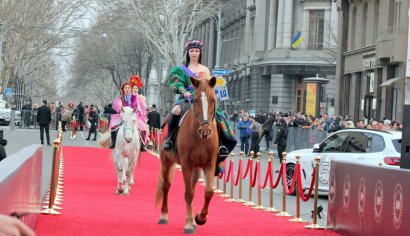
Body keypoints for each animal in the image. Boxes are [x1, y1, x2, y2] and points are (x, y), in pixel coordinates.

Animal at [155, 75, 218, 234]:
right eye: (195, 100)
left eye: (213, 99)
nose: (205, 131)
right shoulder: (186, 164)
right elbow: (188, 193)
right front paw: (189, 224)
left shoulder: (209, 164)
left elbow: (208, 192)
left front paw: (200, 218)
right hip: (166, 162)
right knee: (166, 186)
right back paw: (164, 215)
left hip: (196, 168)